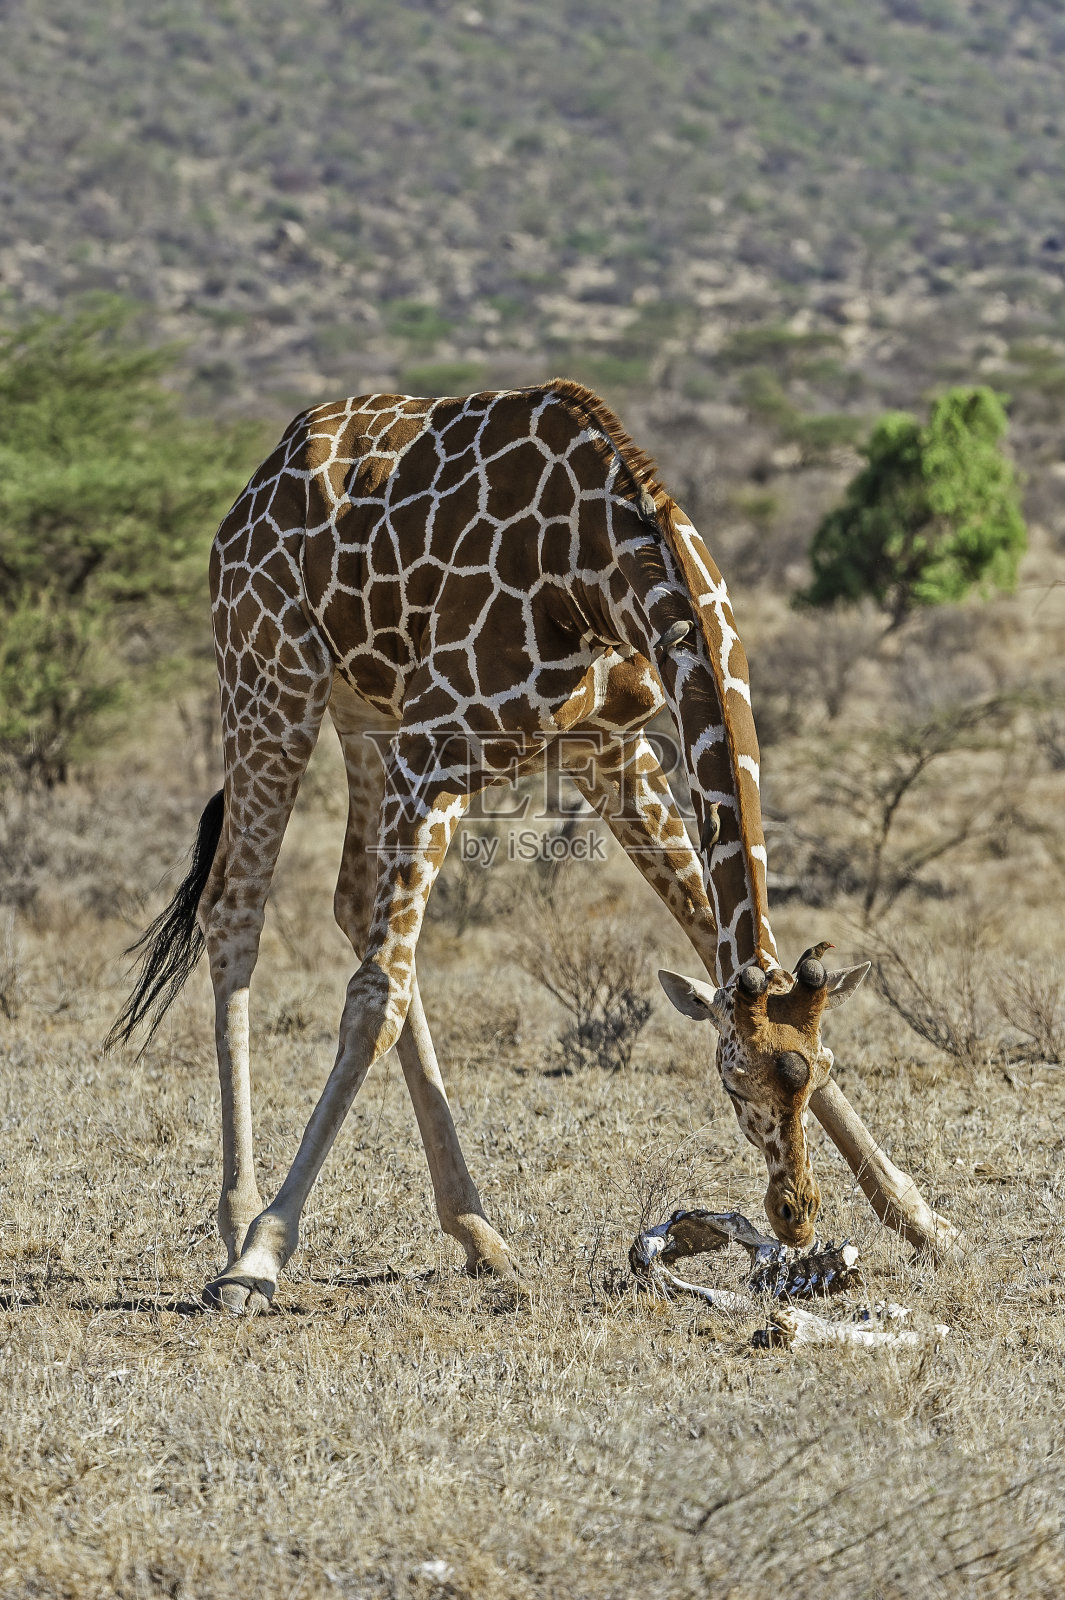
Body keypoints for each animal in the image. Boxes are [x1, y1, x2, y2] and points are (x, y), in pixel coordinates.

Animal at [109, 380, 957, 1313]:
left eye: (823, 1066)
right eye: (730, 1079)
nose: (794, 1215)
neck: (593, 566)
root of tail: (254, 487)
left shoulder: (608, 746)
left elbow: (707, 932)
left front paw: (922, 1220)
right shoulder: (435, 751)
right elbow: (369, 1002)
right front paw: (262, 1255)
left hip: (365, 712)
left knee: (355, 902)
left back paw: (480, 1237)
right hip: (271, 674)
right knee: (239, 907)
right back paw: (240, 1221)